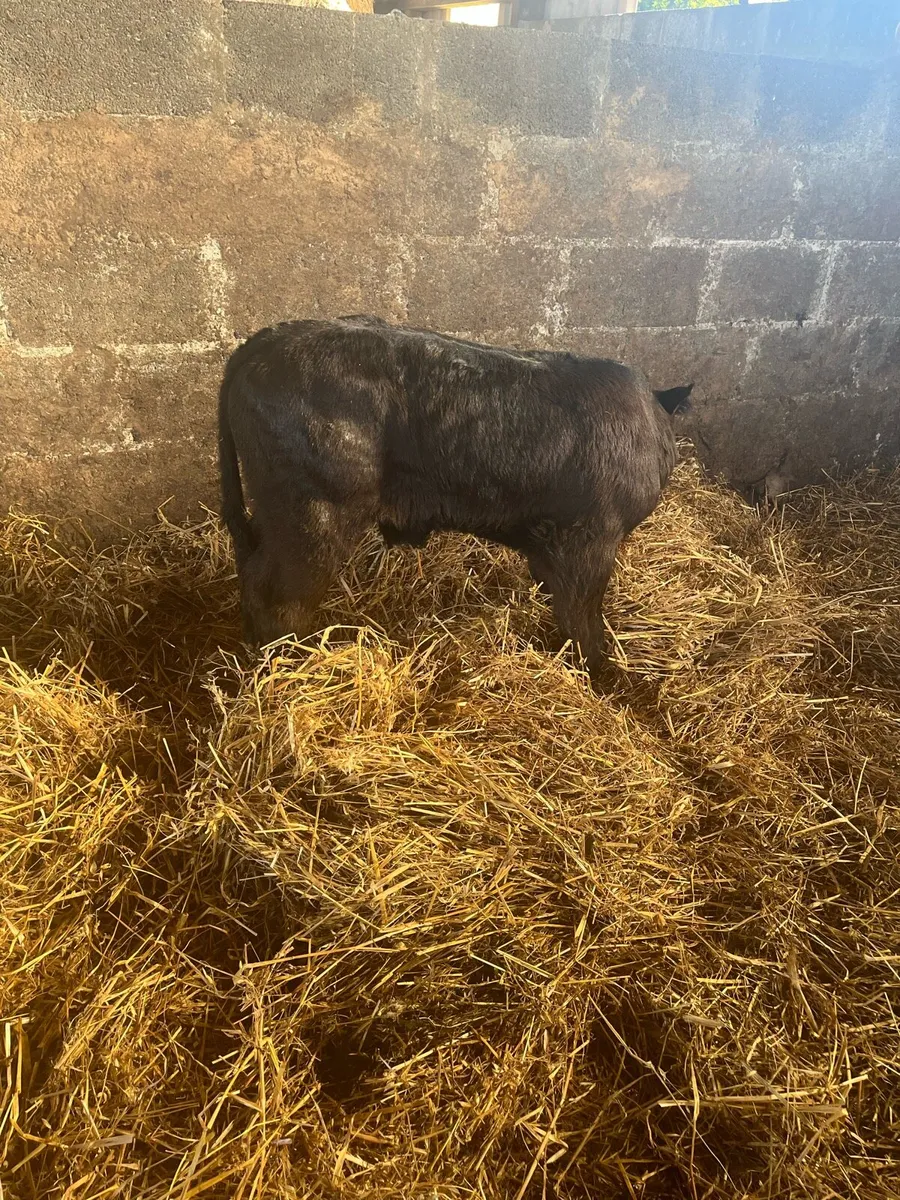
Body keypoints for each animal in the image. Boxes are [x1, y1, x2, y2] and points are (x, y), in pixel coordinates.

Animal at [218, 316, 692, 683]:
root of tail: (269, 339)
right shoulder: (591, 540)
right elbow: (583, 618)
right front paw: (600, 673)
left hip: (276, 516)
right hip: (314, 519)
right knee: (280, 599)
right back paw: (293, 665)